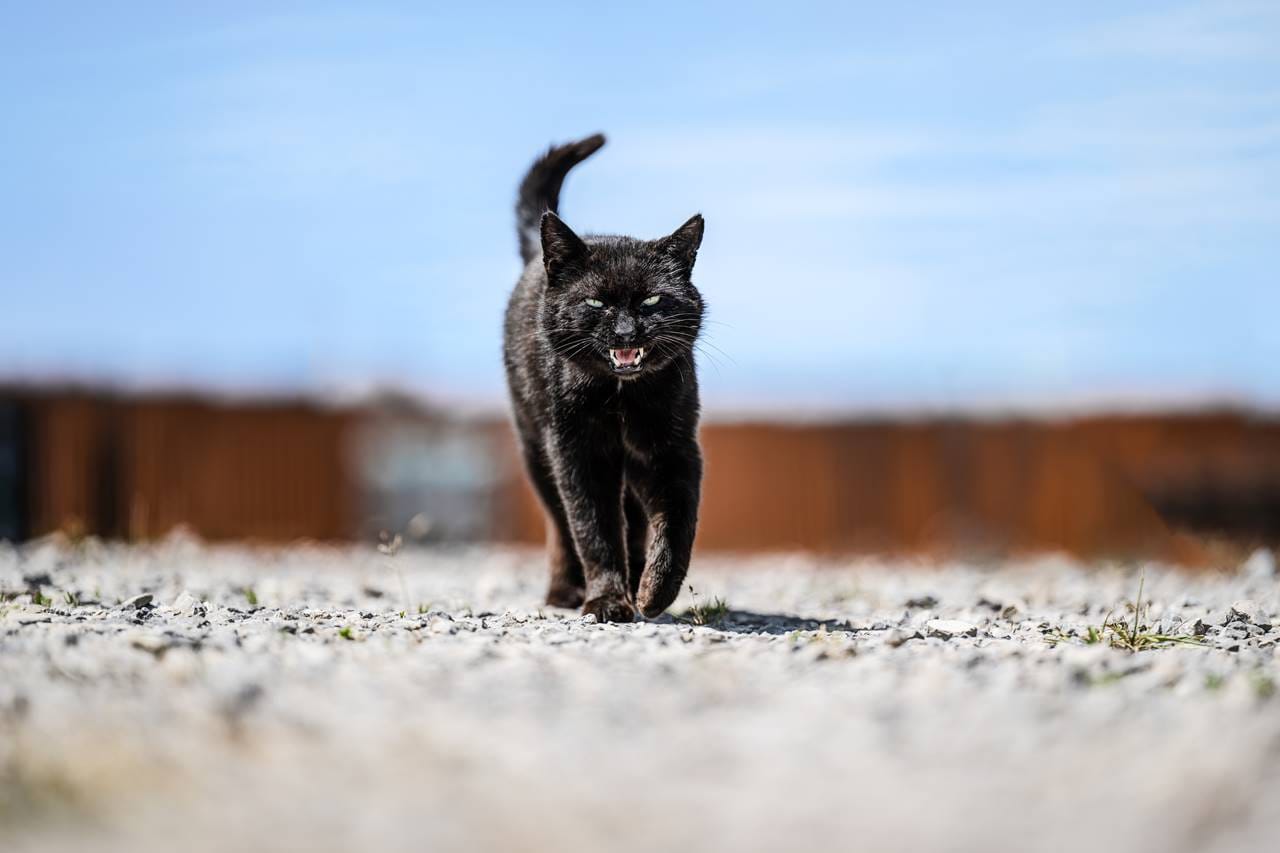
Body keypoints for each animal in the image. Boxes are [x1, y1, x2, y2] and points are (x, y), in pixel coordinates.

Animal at [501, 134, 706, 625]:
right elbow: (593, 530)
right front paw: (607, 601)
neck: (620, 398)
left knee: (632, 522)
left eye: (651, 300)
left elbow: (676, 526)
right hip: (536, 450)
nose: (626, 331)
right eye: (595, 303)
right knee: (560, 525)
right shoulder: (578, 453)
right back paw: (564, 591)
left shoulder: (672, 450)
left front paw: (653, 592)